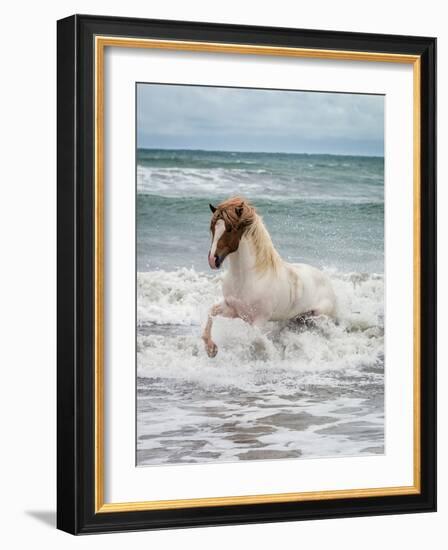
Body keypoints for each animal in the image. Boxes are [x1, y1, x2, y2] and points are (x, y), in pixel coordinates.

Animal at [203, 197, 336, 358]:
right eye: (212, 228)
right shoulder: (234, 310)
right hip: (296, 318)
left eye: (230, 229)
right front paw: (211, 349)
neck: (246, 277)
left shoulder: (259, 319)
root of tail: (327, 282)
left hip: (317, 318)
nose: (213, 260)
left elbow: (255, 337)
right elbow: (211, 312)